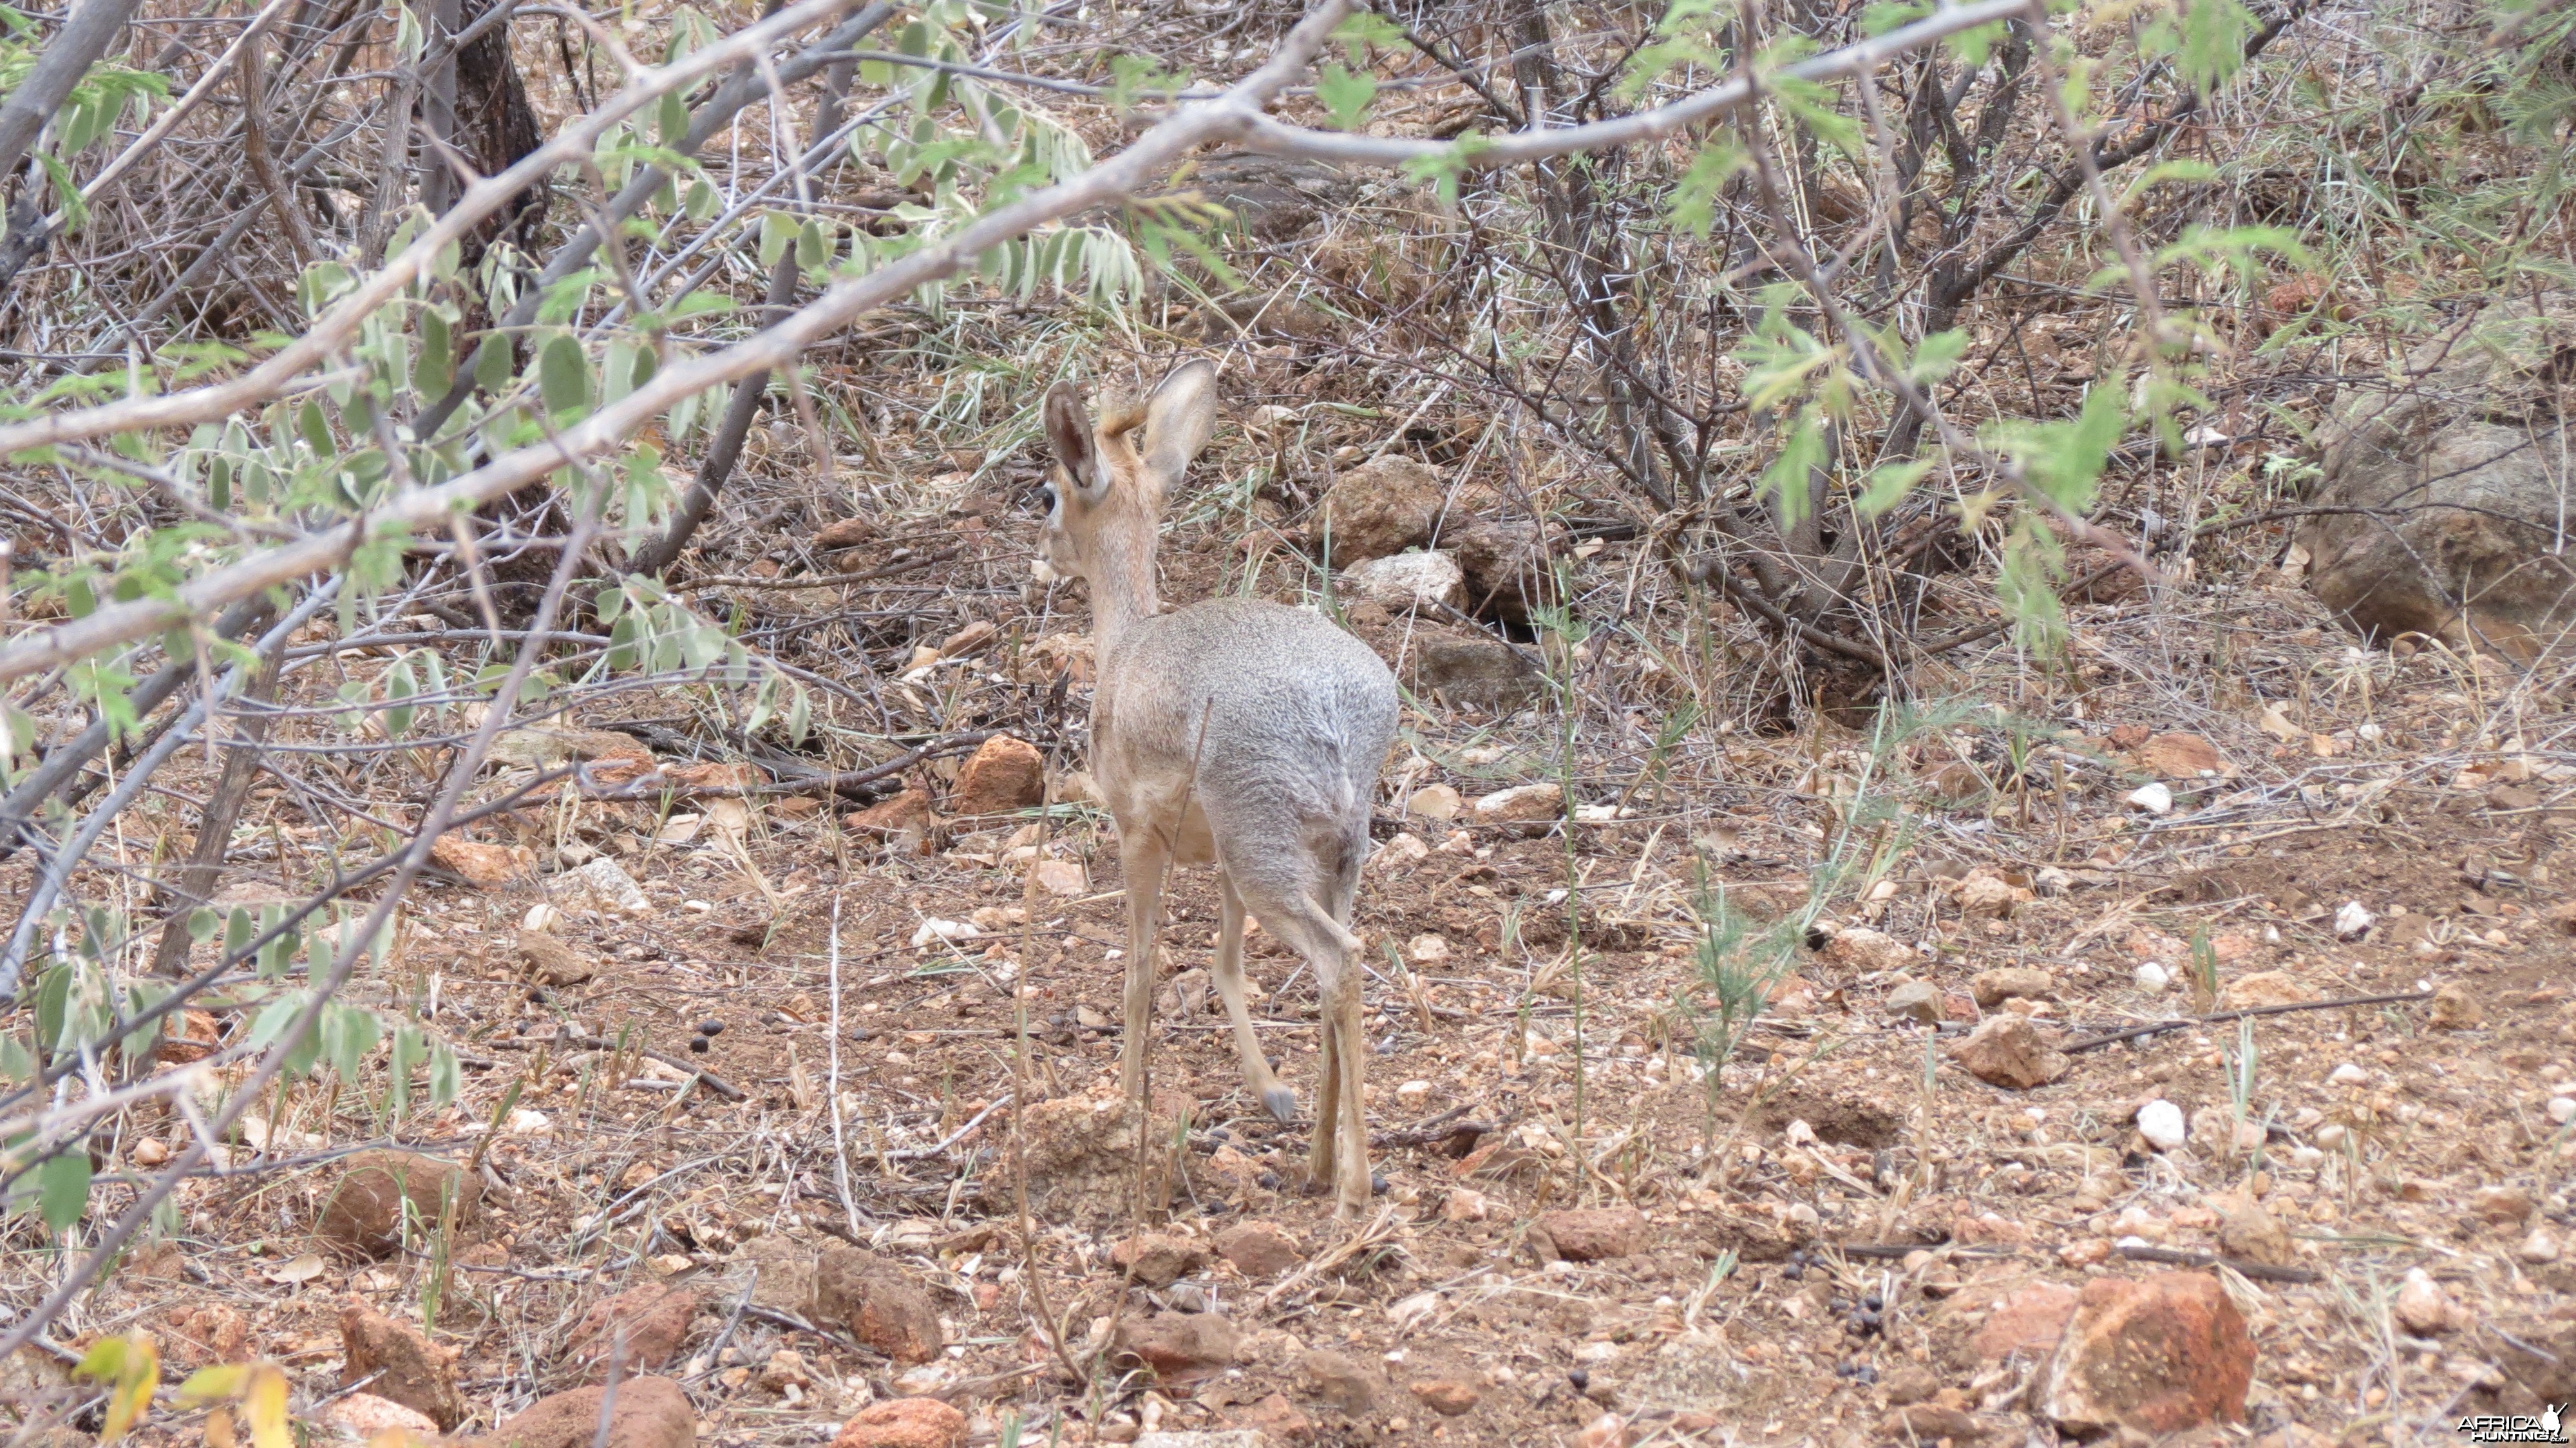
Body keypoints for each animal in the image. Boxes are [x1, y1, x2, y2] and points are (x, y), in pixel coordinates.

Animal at [1036, 356, 1401, 1211]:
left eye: (1048, 493)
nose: (1043, 548)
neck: (1124, 646)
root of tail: (1335, 712)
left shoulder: (1137, 834)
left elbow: (1140, 971)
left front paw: (1124, 1104)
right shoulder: (1218, 861)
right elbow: (1225, 966)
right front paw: (1271, 1089)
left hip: (1269, 854)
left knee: (1340, 960)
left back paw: (1352, 1182)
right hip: (1330, 852)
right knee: (1337, 968)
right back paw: (1318, 1159)